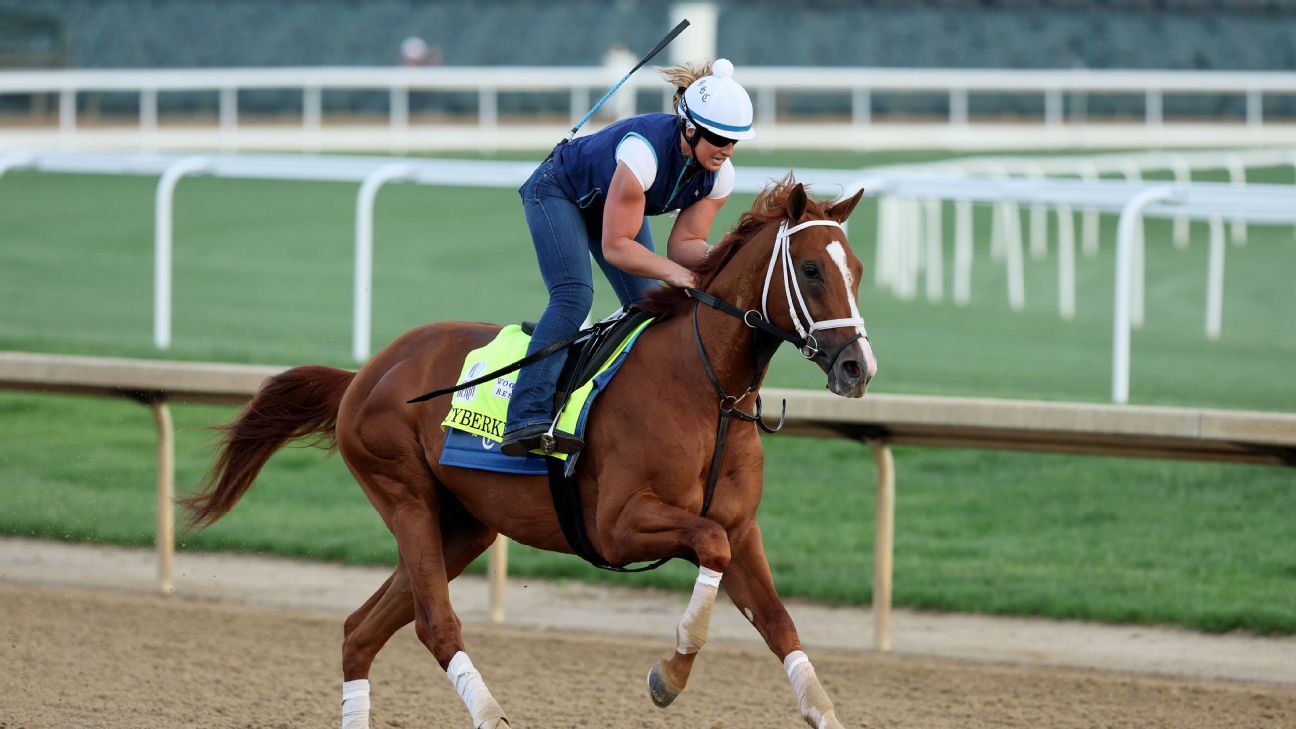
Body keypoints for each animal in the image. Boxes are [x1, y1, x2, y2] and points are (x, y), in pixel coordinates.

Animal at [185, 177, 881, 726]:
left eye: (857, 271)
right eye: (812, 270)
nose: (858, 367)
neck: (703, 388)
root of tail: (366, 374)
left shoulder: (742, 526)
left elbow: (779, 621)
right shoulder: (617, 525)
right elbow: (707, 545)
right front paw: (668, 675)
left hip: (464, 524)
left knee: (361, 630)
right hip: (404, 494)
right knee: (435, 625)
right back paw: (491, 714)